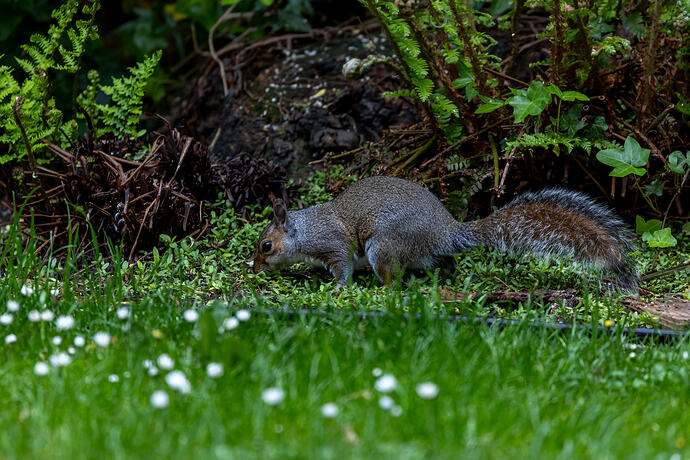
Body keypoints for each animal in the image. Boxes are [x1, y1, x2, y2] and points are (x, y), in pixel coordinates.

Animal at [251, 176, 638, 292]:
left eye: (266, 246)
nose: (255, 268)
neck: (303, 231)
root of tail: (447, 232)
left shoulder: (333, 245)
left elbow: (342, 266)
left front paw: (339, 288)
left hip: (383, 246)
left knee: (393, 279)